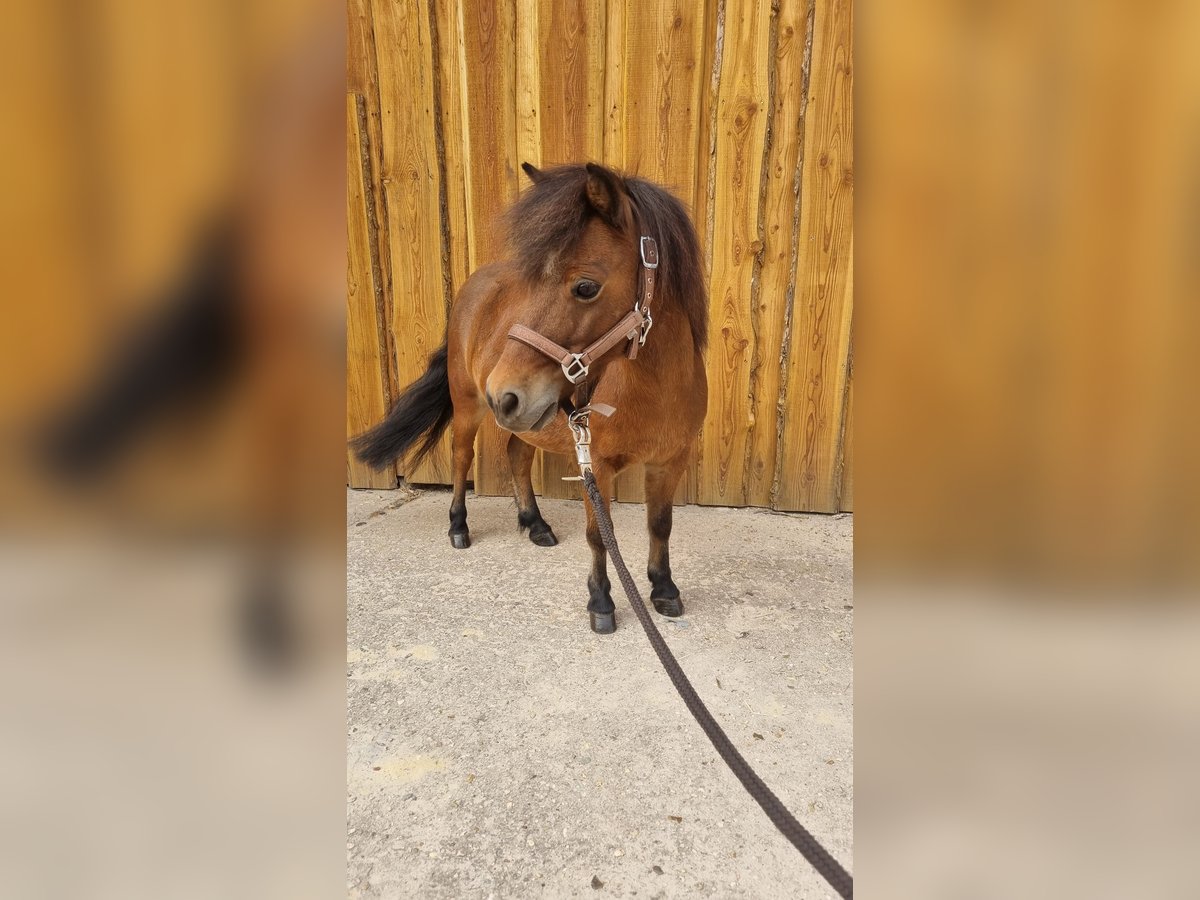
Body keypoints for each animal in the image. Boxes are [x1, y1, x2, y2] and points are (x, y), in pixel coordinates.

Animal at [350, 168, 705, 633]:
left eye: (586, 287)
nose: (502, 392)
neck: (654, 390)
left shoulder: (670, 461)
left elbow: (661, 525)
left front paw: (664, 589)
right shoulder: (596, 465)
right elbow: (598, 535)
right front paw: (601, 601)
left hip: (532, 418)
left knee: (516, 455)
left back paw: (534, 524)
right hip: (470, 407)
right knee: (462, 458)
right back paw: (458, 526)